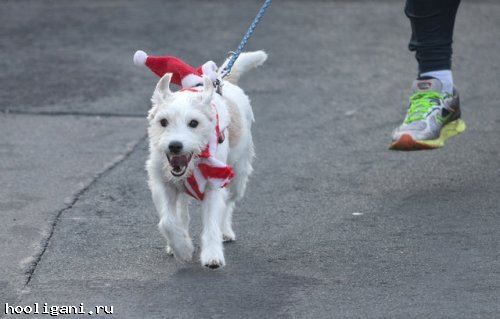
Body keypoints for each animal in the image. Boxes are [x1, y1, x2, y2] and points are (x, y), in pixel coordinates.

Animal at [146, 51, 268, 268]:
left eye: (194, 123)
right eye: (163, 122)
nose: (175, 145)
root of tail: (224, 81)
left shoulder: (214, 184)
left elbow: (212, 222)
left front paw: (212, 255)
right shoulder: (162, 184)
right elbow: (167, 221)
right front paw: (182, 248)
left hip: (238, 176)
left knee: (228, 204)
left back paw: (225, 231)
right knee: (181, 213)